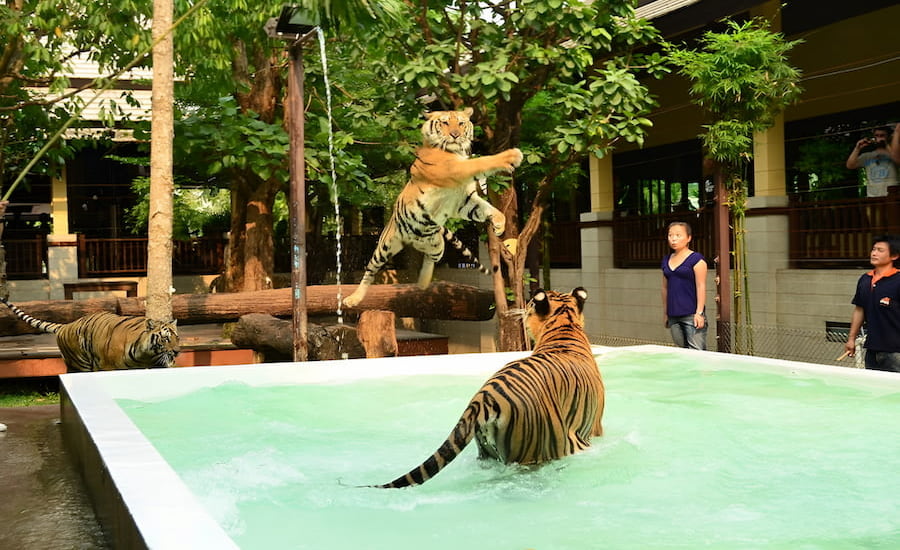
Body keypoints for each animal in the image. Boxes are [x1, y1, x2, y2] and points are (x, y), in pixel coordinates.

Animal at [0, 297, 180, 372]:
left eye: (177, 338)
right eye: (165, 338)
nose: (177, 352)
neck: (146, 356)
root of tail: (67, 325)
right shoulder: (109, 368)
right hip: (79, 364)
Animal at [342, 107, 523, 308]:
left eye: (461, 123)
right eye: (445, 122)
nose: (455, 135)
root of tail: (413, 240)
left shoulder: (464, 200)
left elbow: (486, 208)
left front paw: (499, 224)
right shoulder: (454, 169)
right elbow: (482, 162)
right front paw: (512, 155)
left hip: (437, 246)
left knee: (429, 259)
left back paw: (422, 284)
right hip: (384, 246)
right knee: (370, 270)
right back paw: (353, 299)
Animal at [370, 287, 604, 488]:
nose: (522, 309)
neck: (564, 325)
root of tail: (484, 399)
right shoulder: (596, 426)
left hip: (485, 453)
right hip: (538, 454)